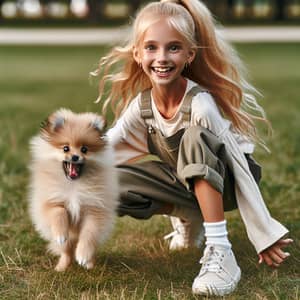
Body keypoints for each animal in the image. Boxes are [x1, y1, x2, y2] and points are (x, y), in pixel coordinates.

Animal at [28, 108, 118, 272]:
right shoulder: (49, 202)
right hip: (65, 241)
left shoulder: (94, 209)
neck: (74, 186)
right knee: (66, 252)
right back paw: (61, 267)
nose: (75, 157)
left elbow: (89, 233)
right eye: (65, 148)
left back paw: (88, 263)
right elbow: (58, 211)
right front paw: (60, 233)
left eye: (84, 149)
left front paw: (83, 255)